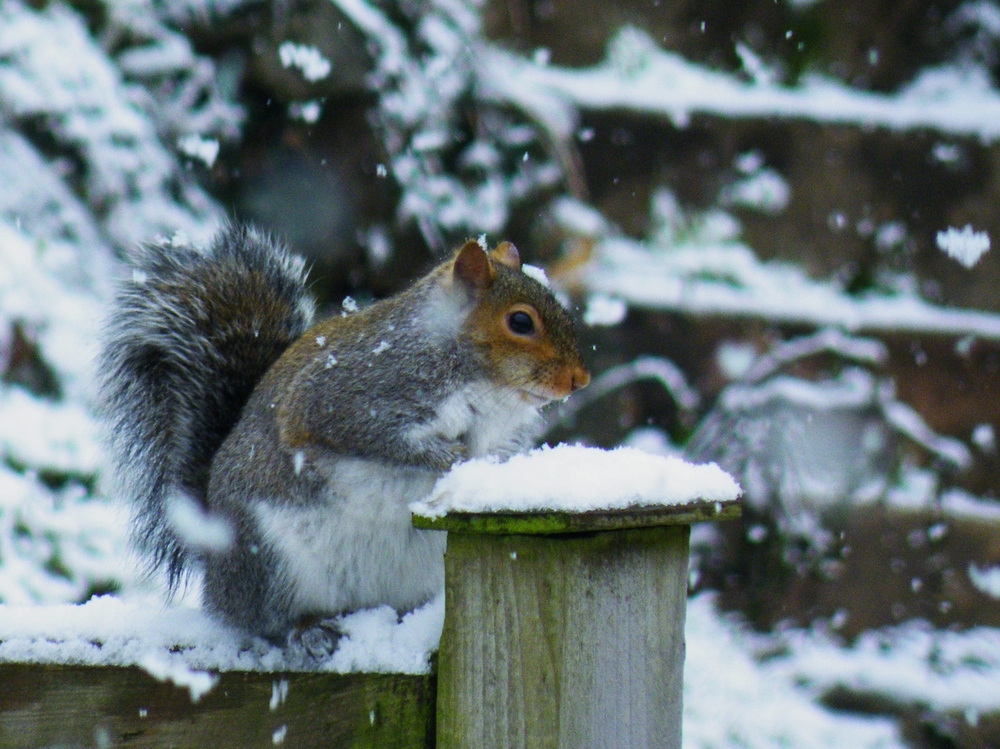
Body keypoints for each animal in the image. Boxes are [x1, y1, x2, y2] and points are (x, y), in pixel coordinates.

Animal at [98, 224, 588, 644]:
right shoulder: (344, 397)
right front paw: (448, 457)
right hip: (271, 560)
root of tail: (213, 553)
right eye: (520, 322)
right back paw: (305, 630)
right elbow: (381, 439)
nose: (579, 380)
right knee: (263, 621)